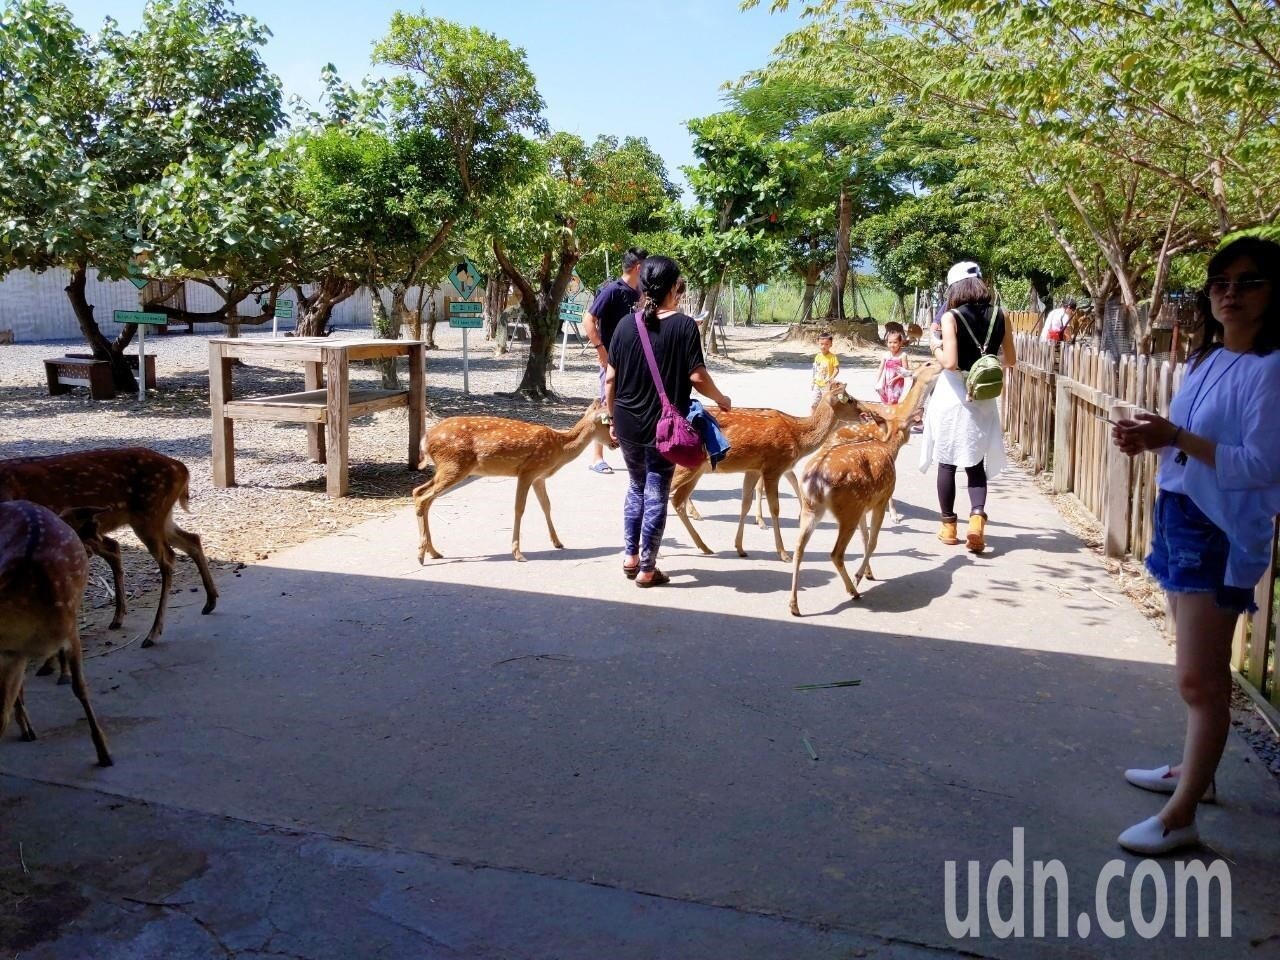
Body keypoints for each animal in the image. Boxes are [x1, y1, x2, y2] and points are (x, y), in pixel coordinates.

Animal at [0, 450, 218, 650]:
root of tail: (181, 468)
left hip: (150, 513)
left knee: (168, 558)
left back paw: (153, 633)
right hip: (156, 519)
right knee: (191, 539)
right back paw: (209, 601)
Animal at [409, 399, 609, 563]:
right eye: (609, 423)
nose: (614, 442)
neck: (559, 448)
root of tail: (425, 439)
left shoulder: (539, 477)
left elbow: (546, 505)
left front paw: (558, 542)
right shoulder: (528, 470)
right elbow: (519, 508)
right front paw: (518, 553)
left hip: (447, 468)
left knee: (420, 493)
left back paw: (433, 552)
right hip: (454, 466)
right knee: (422, 497)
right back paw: (421, 555)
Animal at [670, 384, 870, 563]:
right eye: (850, 399)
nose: (867, 414)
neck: (798, 436)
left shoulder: (753, 468)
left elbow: (745, 504)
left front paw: (740, 547)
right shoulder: (773, 467)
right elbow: (775, 508)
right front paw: (783, 553)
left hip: (696, 470)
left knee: (678, 501)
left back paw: (704, 546)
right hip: (684, 467)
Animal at [783, 360, 947, 616]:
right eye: (929, 363)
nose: (945, 363)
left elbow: (866, 535)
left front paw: (868, 572)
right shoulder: (877, 494)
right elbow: (873, 535)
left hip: (818, 507)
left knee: (800, 545)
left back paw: (795, 603)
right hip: (846, 509)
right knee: (836, 552)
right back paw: (852, 590)